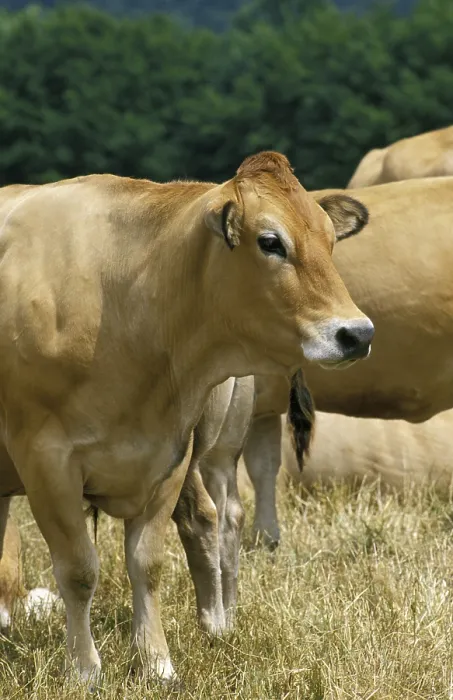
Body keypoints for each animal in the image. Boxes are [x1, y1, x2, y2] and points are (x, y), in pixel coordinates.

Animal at [0, 152, 373, 685]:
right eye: (270, 241)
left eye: (328, 237)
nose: (357, 333)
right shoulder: (45, 461)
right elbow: (79, 569)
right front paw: (86, 668)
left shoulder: (169, 456)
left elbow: (147, 564)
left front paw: (156, 662)